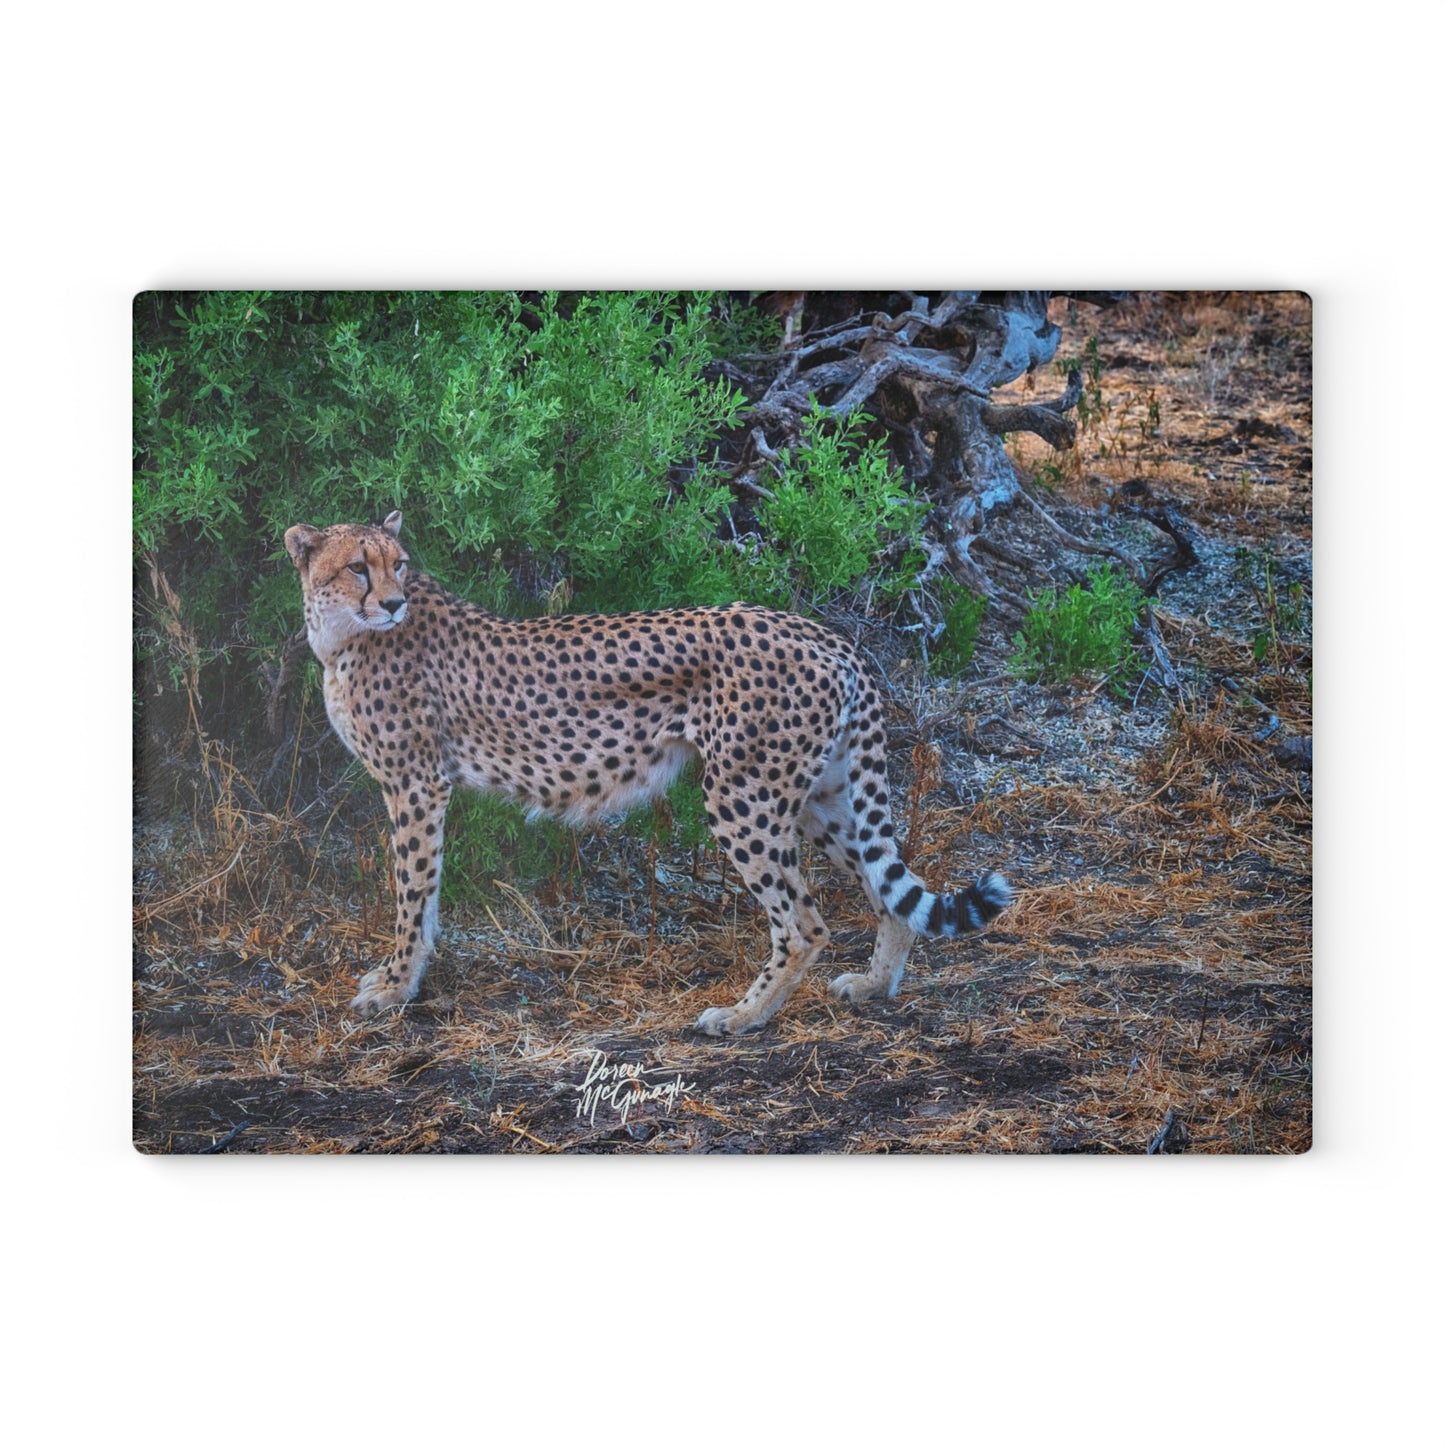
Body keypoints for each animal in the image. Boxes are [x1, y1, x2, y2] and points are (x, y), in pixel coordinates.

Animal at [284, 510, 1012, 1035]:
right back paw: (873, 985)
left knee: (805, 923)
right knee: (888, 888)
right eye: (358, 567)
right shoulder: (421, 786)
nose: (394, 602)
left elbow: (411, 891)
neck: (343, 634)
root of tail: (819, 631)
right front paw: (400, 977)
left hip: (742, 795)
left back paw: (742, 1016)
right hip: (819, 794)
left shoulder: (415, 783)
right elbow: (425, 893)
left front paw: (394, 986)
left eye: (398, 564)